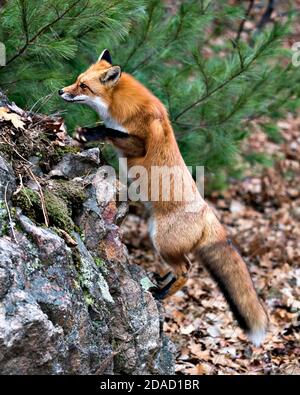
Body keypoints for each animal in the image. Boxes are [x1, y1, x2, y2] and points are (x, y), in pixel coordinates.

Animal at [58, 49, 268, 346]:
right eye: (77, 81)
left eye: (83, 86)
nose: (60, 91)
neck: (122, 108)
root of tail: (208, 214)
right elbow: (108, 128)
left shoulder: (139, 144)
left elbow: (111, 132)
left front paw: (89, 133)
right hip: (158, 237)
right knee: (183, 267)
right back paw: (161, 281)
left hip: (161, 240)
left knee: (188, 270)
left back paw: (161, 293)